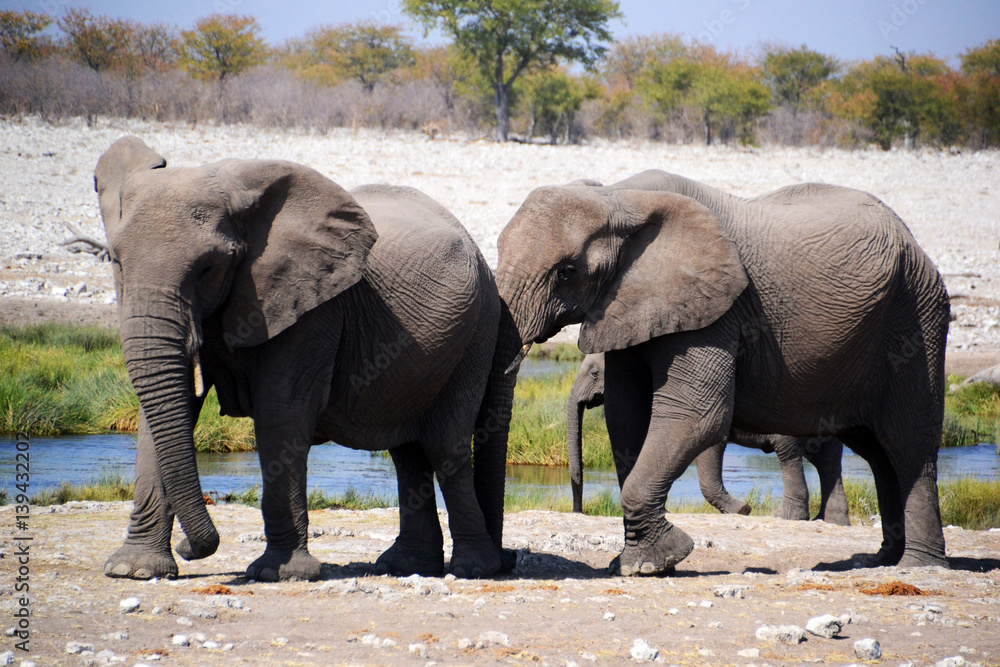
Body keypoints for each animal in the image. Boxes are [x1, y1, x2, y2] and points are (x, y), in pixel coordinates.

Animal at [94, 136, 519, 582]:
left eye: (208, 267)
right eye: (115, 262)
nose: (192, 548)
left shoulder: (313, 306)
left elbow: (281, 412)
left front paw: (278, 574)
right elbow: (158, 412)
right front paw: (132, 570)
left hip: (477, 331)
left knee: (443, 445)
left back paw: (474, 568)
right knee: (408, 451)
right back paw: (407, 565)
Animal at [568, 353, 850, 525]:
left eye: (594, 373)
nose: (579, 511)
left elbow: (709, 447)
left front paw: (742, 510)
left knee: (788, 452)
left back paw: (787, 517)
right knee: (828, 459)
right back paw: (831, 521)